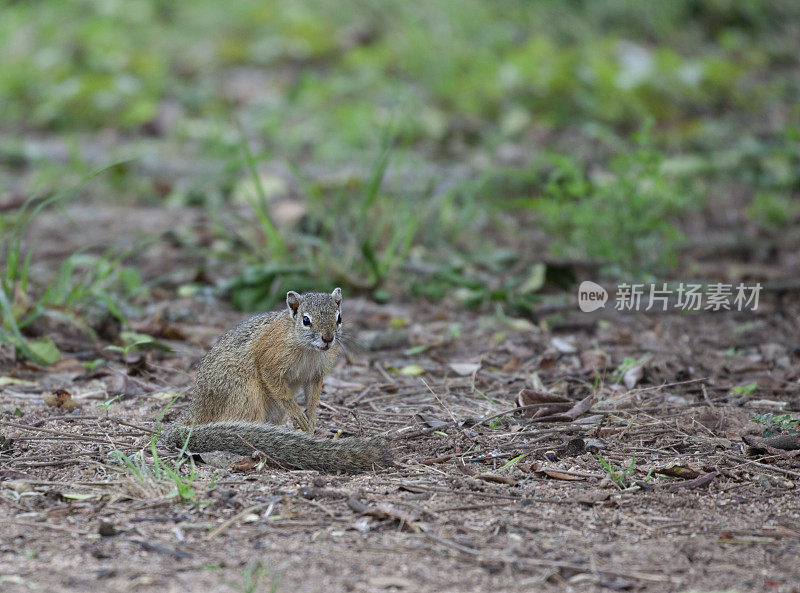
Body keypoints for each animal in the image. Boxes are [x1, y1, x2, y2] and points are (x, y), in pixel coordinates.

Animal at [158, 286, 390, 472]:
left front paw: (311, 421)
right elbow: (281, 391)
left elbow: (313, 397)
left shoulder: (316, 375)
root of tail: (197, 409)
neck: (307, 349)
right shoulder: (270, 363)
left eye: (339, 317)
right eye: (306, 320)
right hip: (244, 393)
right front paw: (298, 415)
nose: (328, 338)